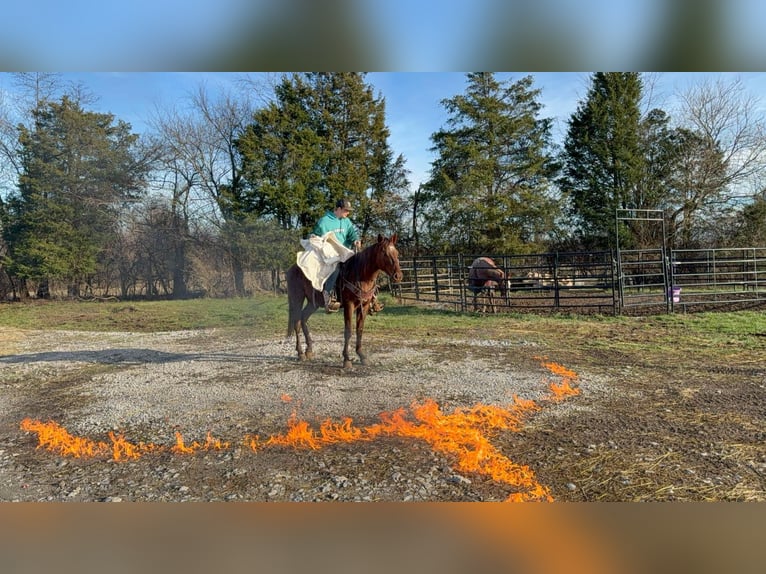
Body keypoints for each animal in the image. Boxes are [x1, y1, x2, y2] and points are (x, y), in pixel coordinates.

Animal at [286, 233, 403, 368]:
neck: (360, 274)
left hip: (313, 303)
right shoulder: (349, 305)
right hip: (297, 298)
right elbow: (348, 331)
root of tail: (292, 268)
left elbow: (359, 329)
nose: (398, 276)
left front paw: (362, 356)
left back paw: (309, 351)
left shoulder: (364, 305)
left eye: (397, 252)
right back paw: (300, 353)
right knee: (297, 322)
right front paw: (347, 359)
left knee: (303, 318)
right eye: (384, 252)